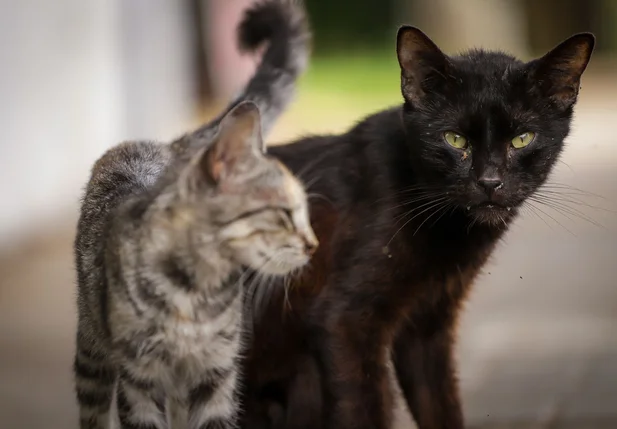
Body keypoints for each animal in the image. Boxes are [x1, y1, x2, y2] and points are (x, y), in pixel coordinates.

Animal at [73, 1, 312, 426]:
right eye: (283, 213)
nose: (312, 245)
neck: (194, 293)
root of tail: (163, 144)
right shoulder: (139, 380)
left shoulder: (216, 374)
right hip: (91, 352)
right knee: (93, 408)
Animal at [238, 25, 596, 428]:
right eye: (454, 139)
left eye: (522, 139)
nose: (490, 181)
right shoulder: (344, 322)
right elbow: (365, 410)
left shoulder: (429, 327)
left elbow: (441, 407)